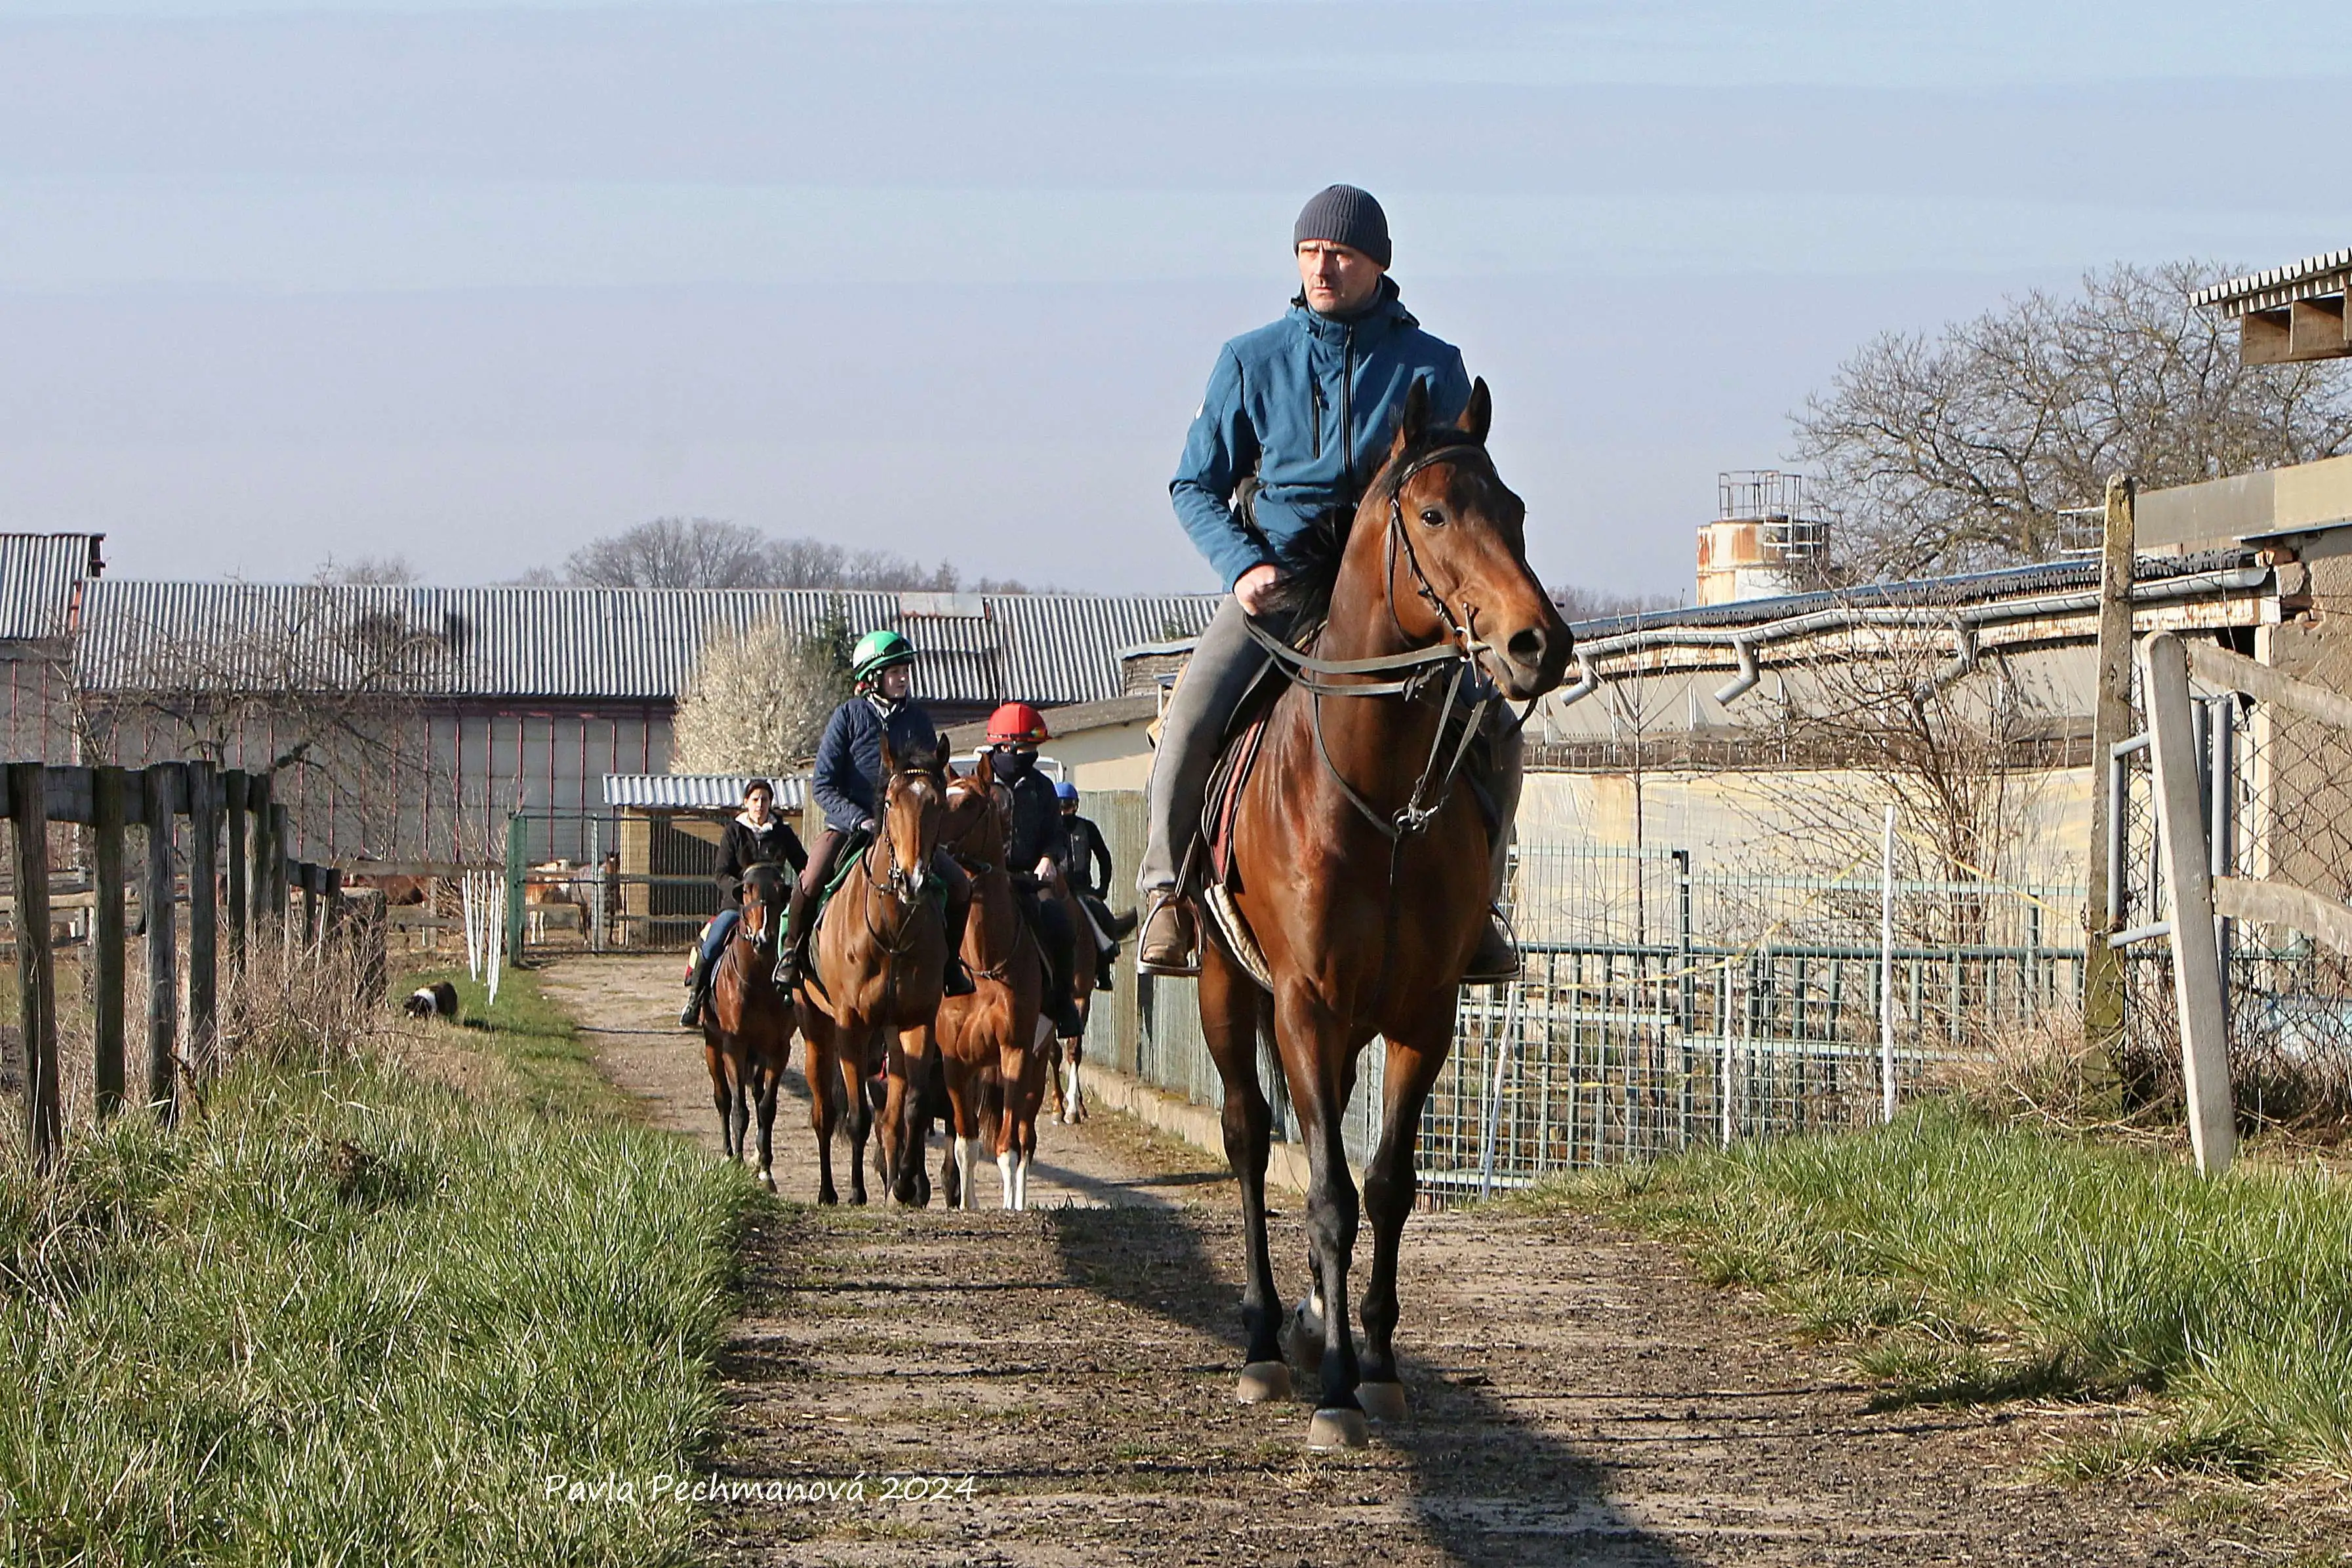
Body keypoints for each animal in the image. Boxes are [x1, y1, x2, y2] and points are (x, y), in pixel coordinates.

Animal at [696, 860, 800, 1189]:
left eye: (780, 891)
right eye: (747, 890)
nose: (763, 939)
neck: (759, 983)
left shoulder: (779, 1050)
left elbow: (766, 1107)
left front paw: (765, 1169)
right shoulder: (734, 1045)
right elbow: (738, 1107)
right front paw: (736, 1161)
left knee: (755, 1094)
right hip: (713, 1045)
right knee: (723, 1099)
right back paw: (730, 1153)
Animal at [790, 742, 945, 1213]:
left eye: (938, 802)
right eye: (891, 802)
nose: (913, 879)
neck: (892, 930)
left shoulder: (917, 1022)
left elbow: (912, 1108)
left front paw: (907, 1184)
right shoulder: (850, 1025)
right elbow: (857, 1115)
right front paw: (857, 1190)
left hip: (890, 1035)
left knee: (891, 1115)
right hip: (816, 1029)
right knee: (824, 1113)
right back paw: (829, 1190)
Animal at [1204, 376, 1571, 1448]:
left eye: (1515, 511)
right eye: (1435, 513)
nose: (1538, 643)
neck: (1375, 797)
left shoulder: (1421, 1013)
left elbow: (1388, 1185)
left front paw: (1375, 1364)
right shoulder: (1304, 1005)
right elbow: (1327, 1194)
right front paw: (1332, 1389)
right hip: (1224, 991)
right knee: (1248, 1138)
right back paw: (1262, 1341)